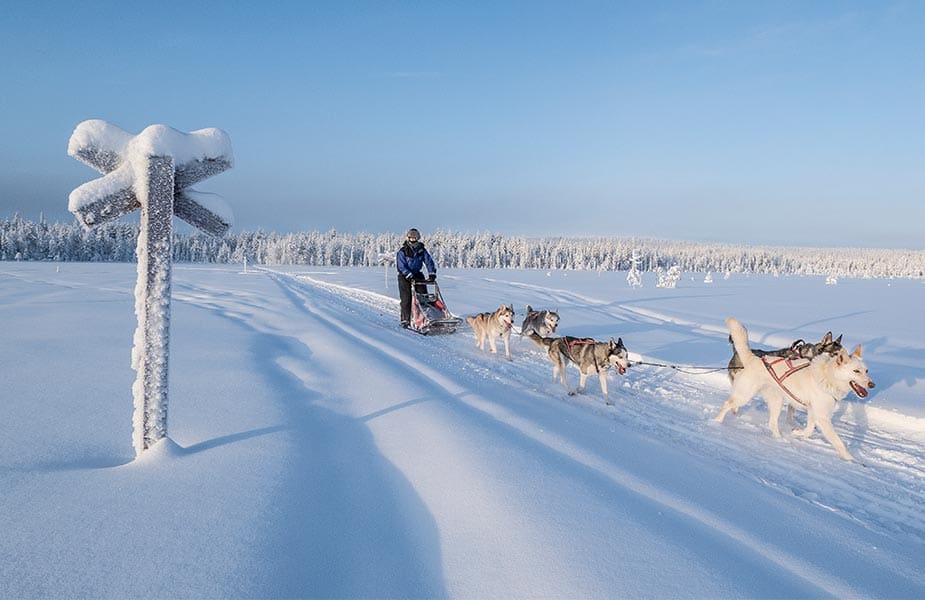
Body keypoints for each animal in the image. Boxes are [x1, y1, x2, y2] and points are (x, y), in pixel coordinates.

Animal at [716, 316, 872, 462]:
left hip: (776, 402)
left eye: (866, 371)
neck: (827, 377)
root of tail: (754, 359)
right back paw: (716, 422)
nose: (872, 384)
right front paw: (851, 460)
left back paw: (780, 439)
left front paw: (797, 432)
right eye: (856, 371)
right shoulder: (822, 416)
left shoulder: (813, 412)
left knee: (772, 423)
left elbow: (809, 430)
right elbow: (838, 442)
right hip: (745, 395)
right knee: (727, 404)